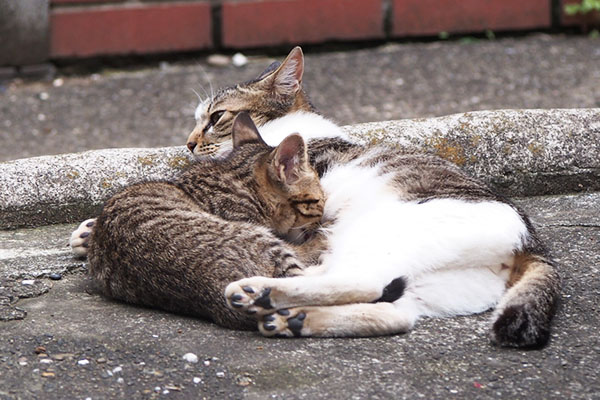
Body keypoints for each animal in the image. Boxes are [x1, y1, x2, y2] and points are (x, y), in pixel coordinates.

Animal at [189, 46, 564, 346]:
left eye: (216, 117)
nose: (189, 143)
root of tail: (531, 243)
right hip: (428, 285)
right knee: (391, 312)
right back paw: (292, 318)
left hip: (375, 234)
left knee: (361, 281)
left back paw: (260, 292)